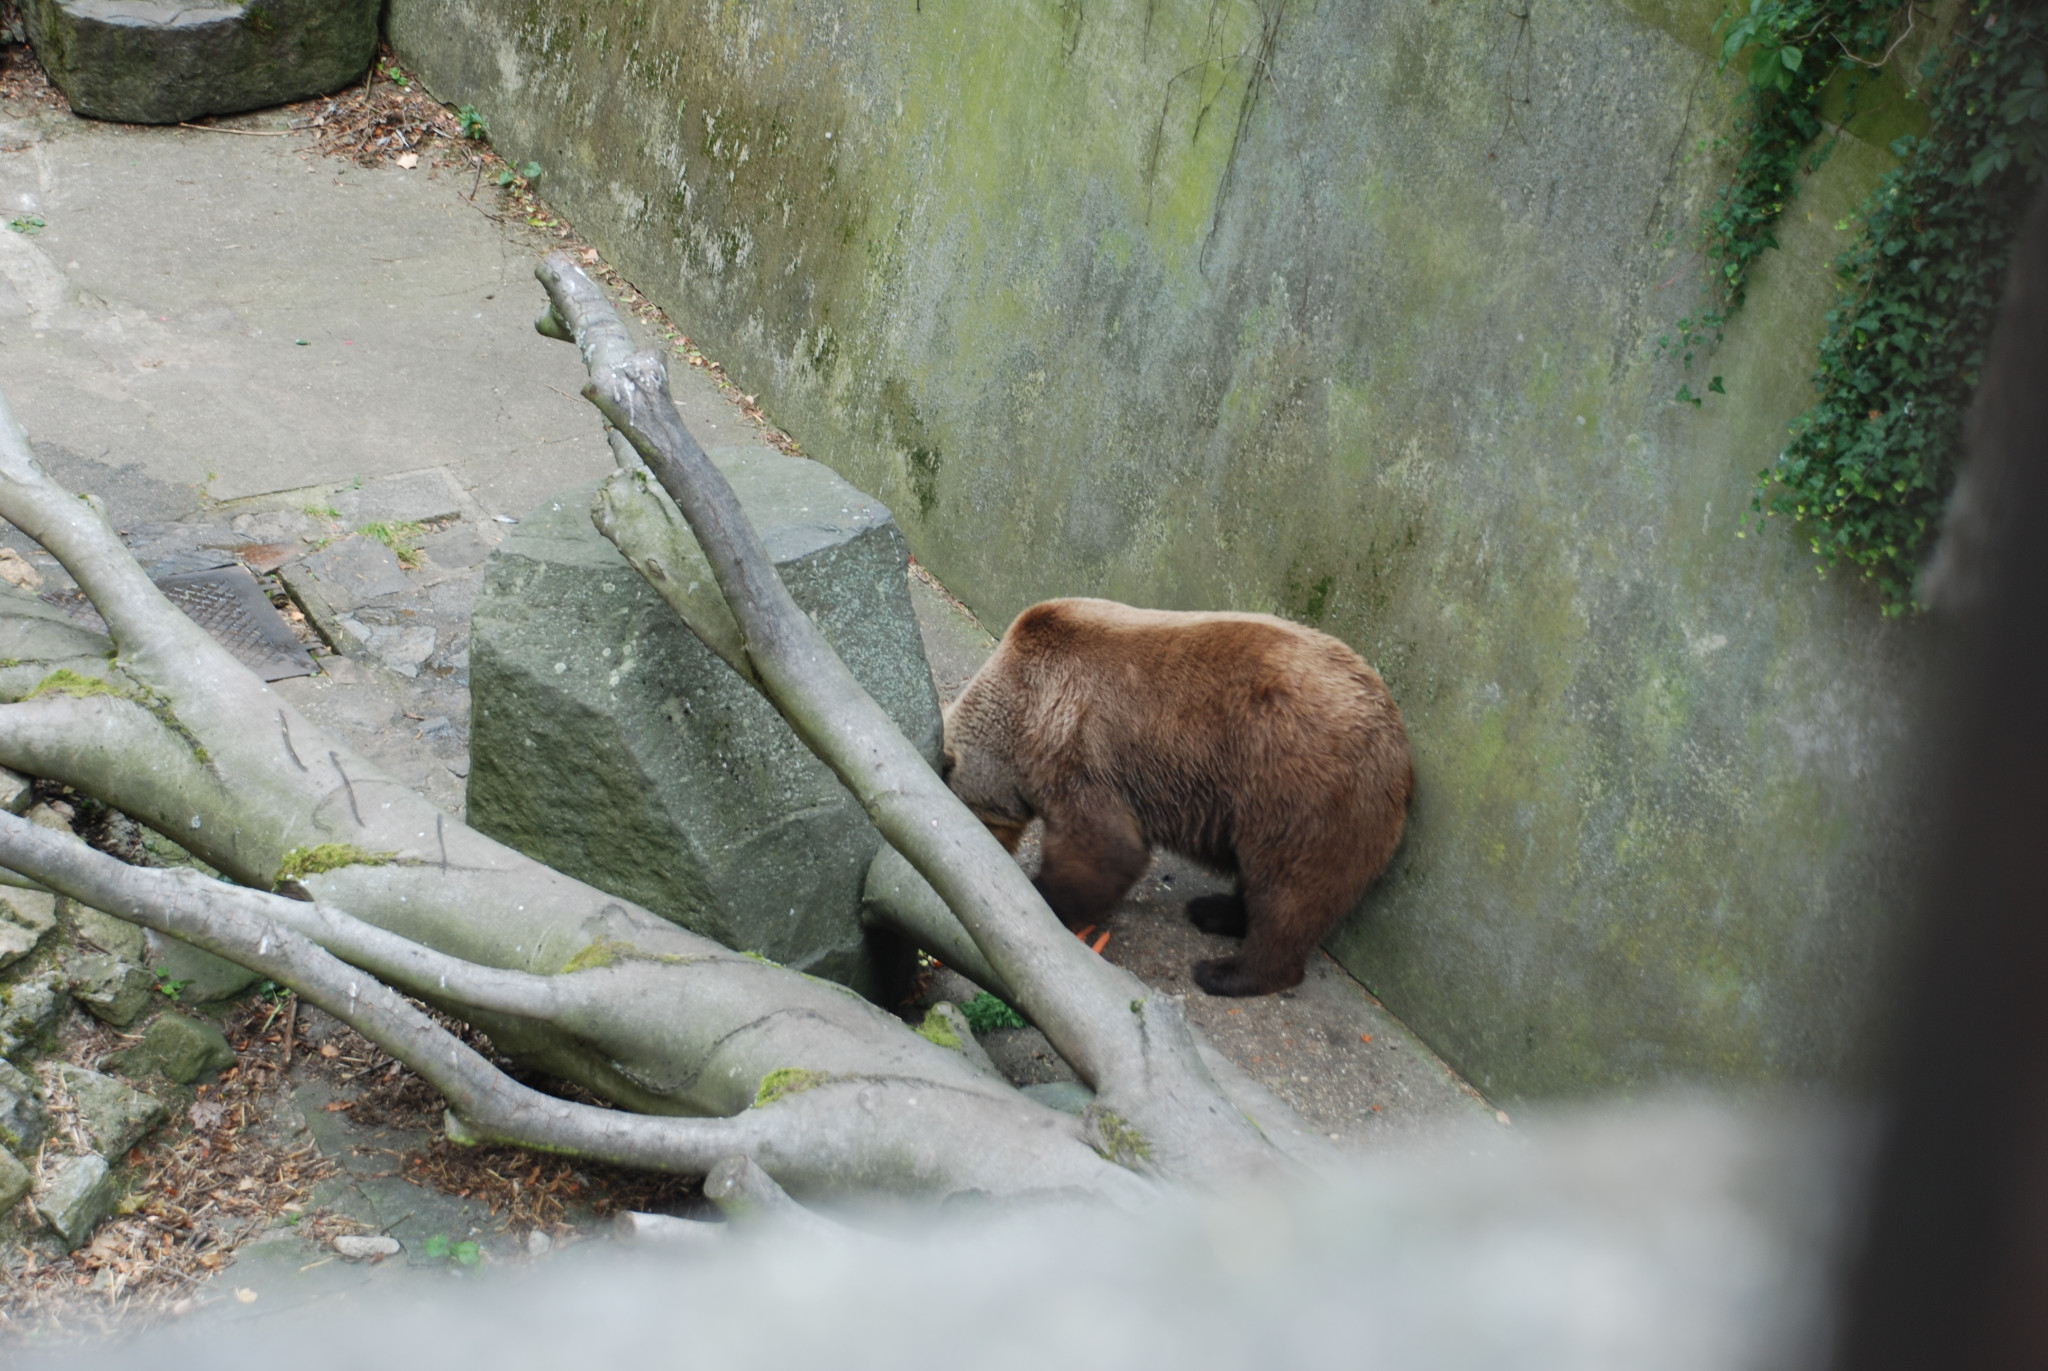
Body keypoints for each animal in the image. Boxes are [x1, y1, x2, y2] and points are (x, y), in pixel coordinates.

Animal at [937, 594, 1409, 987]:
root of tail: (1398, 740)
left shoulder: (1077, 752)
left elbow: (1105, 849)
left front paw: (1044, 897)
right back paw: (1214, 910)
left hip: (1301, 790)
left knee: (1290, 890)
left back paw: (1228, 971)